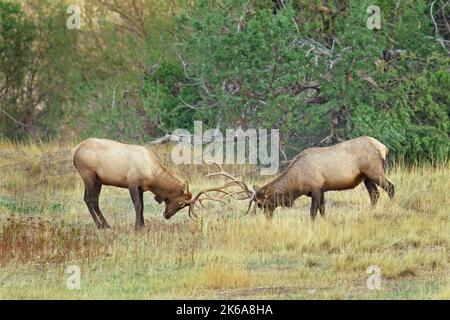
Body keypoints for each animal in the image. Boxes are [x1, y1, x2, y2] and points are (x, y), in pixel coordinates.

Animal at [73, 138, 229, 230]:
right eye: (181, 204)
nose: (167, 215)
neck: (152, 175)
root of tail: (75, 152)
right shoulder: (132, 183)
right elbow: (137, 205)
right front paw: (137, 227)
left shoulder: (141, 188)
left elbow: (142, 207)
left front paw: (142, 225)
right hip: (88, 175)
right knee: (88, 199)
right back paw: (100, 225)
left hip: (98, 180)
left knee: (94, 200)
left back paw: (106, 224)